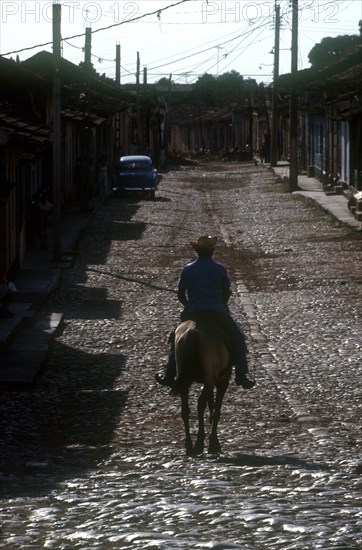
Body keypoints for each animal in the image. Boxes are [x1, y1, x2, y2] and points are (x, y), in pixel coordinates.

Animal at [172, 312, 232, 460]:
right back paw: (199, 443)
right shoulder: (222, 381)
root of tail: (193, 331)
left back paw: (189, 446)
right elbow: (216, 409)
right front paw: (214, 444)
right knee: (200, 403)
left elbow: (211, 405)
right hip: (210, 378)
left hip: (185, 379)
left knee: (185, 409)